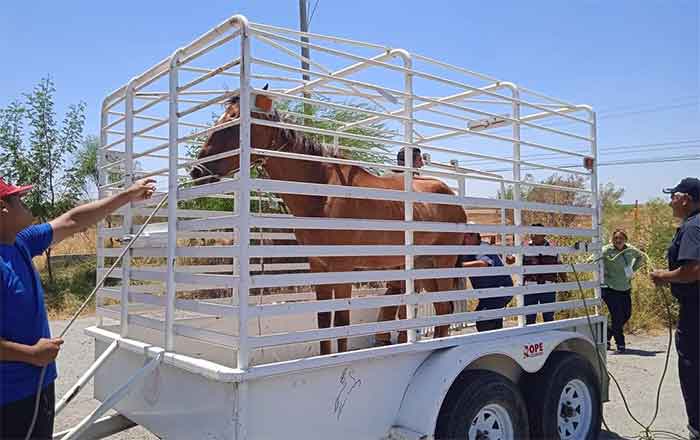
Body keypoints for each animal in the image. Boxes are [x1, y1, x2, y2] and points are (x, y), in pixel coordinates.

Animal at [190, 92, 466, 355]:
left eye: (234, 121)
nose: (196, 171)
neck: (321, 192)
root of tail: (451, 197)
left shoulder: (342, 267)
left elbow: (341, 321)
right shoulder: (318, 265)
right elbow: (323, 321)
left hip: (442, 261)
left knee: (445, 308)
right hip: (423, 264)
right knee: (442, 308)